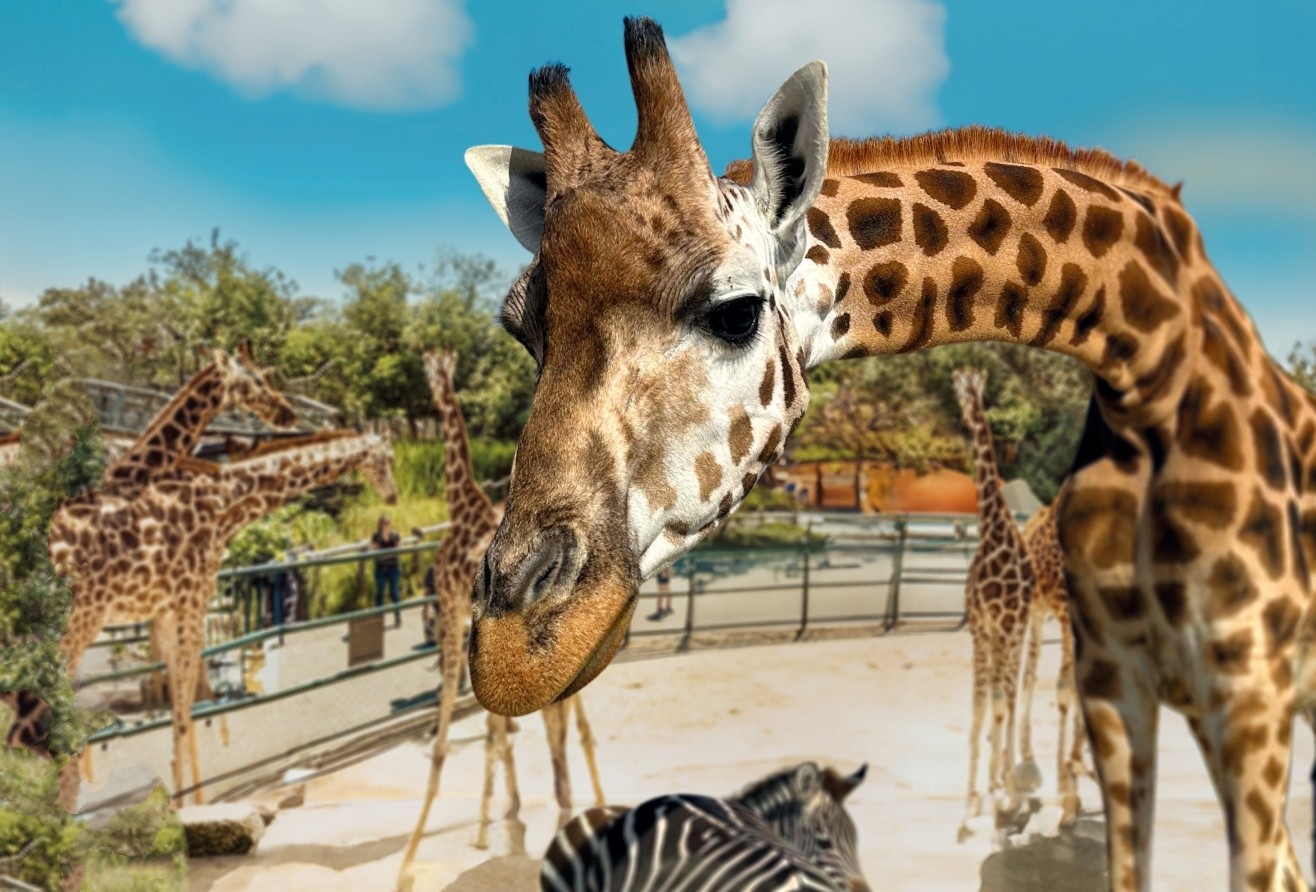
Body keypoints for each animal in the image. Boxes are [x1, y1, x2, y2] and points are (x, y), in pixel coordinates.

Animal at [52, 429, 396, 805]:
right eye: (388, 458)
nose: (392, 496)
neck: (224, 506)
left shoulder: (173, 608)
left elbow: (184, 707)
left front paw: (192, 795)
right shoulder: (191, 600)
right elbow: (184, 710)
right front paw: (185, 798)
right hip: (85, 613)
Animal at [398, 349, 604, 886]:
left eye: (432, 371)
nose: (432, 388)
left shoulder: (453, 613)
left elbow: (455, 734)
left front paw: (412, 862)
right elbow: (495, 726)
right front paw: (498, 813)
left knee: (558, 726)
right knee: (568, 723)